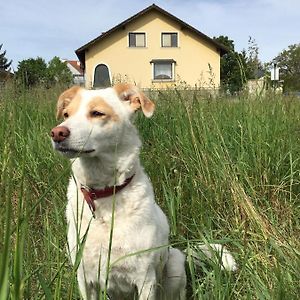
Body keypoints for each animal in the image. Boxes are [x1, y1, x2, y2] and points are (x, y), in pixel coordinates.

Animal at [51, 83, 237, 298]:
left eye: (97, 113)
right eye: (66, 114)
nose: (57, 133)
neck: (105, 193)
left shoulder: (145, 279)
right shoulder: (84, 279)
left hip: (174, 266)